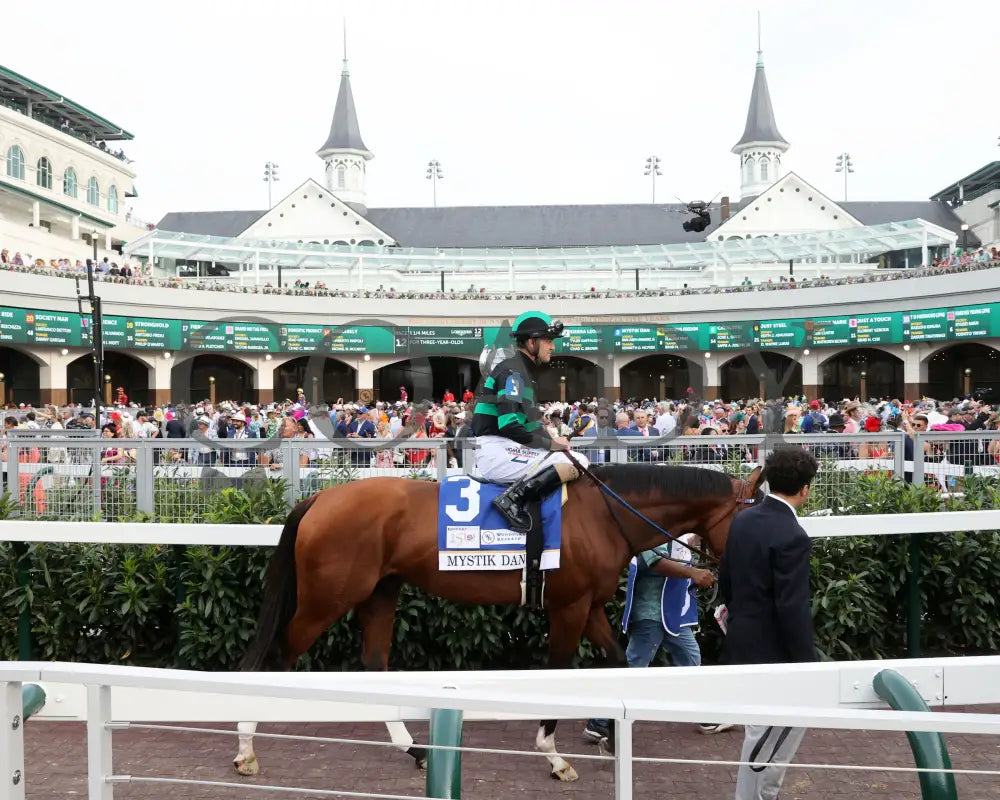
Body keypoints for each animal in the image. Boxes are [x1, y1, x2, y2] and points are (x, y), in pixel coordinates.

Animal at [236, 462, 764, 780]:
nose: (726, 576)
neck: (603, 513)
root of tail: (319, 500)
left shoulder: (590, 605)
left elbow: (618, 661)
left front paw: (613, 738)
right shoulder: (568, 607)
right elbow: (559, 671)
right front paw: (554, 755)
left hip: (380, 593)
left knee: (372, 662)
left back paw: (414, 749)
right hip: (326, 599)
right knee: (279, 657)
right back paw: (245, 748)